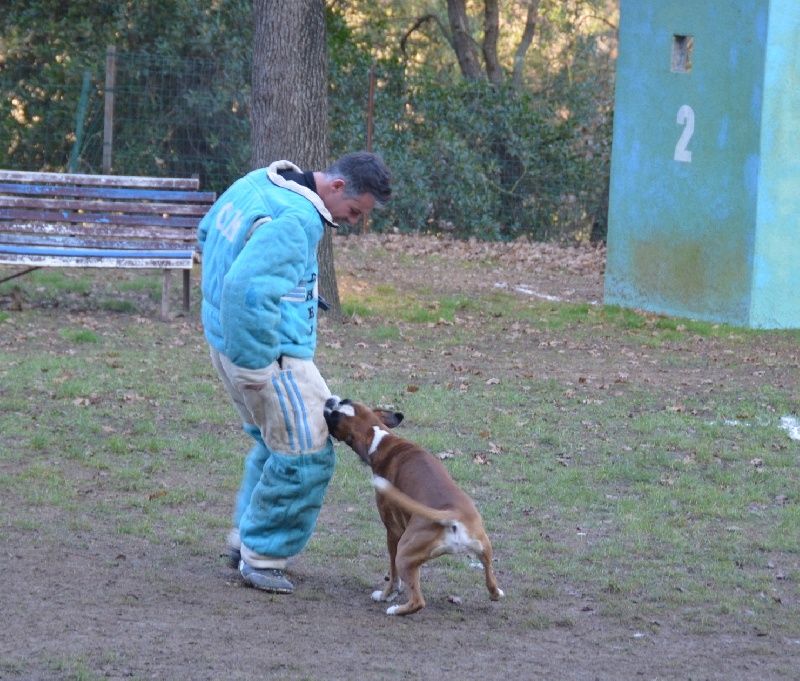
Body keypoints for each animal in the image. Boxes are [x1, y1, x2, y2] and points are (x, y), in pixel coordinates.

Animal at [322, 396, 504, 612]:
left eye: (334, 418)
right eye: (345, 401)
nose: (330, 401)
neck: (382, 440)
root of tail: (452, 515)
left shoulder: (393, 532)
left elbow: (393, 575)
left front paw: (386, 594)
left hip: (403, 553)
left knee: (418, 601)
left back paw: (394, 610)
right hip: (484, 546)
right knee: (490, 575)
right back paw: (495, 593)